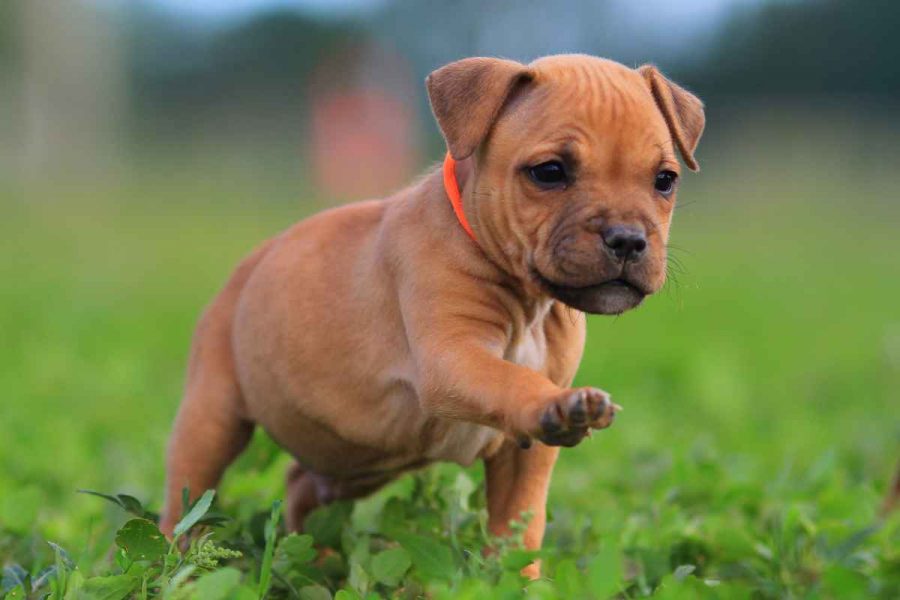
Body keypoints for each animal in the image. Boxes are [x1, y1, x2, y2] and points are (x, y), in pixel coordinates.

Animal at [160, 56, 704, 576]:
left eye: (665, 180)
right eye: (550, 172)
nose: (628, 239)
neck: (529, 301)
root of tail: (249, 265)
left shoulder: (525, 454)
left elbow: (520, 527)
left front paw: (518, 582)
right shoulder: (454, 360)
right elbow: (511, 379)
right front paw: (558, 406)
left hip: (355, 460)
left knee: (302, 490)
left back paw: (313, 562)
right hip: (212, 414)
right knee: (185, 497)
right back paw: (177, 562)